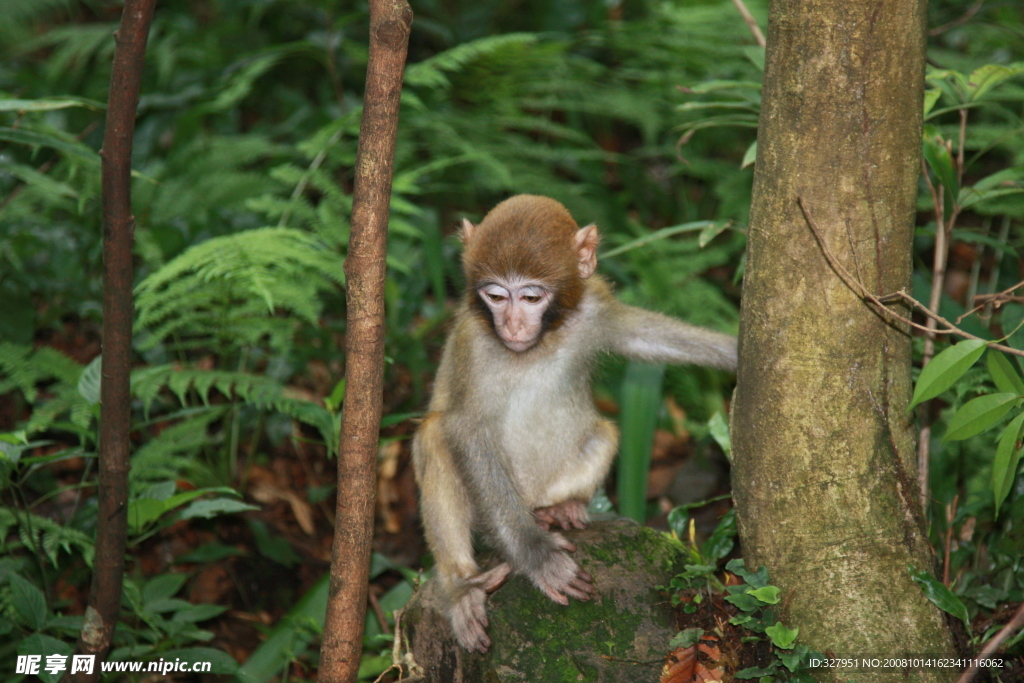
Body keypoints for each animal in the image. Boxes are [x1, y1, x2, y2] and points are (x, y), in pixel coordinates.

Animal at [407, 194, 737, 655]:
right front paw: (537, 556)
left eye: (530, 297)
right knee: (435, 435)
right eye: (496, 296)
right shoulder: (474, 340)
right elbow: (466, 429)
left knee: (604, 433)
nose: (511, 325)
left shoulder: (593, 304)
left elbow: (645, 336)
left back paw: (561, 509)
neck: (541, 341)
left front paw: (736, 351)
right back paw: (463, 585)